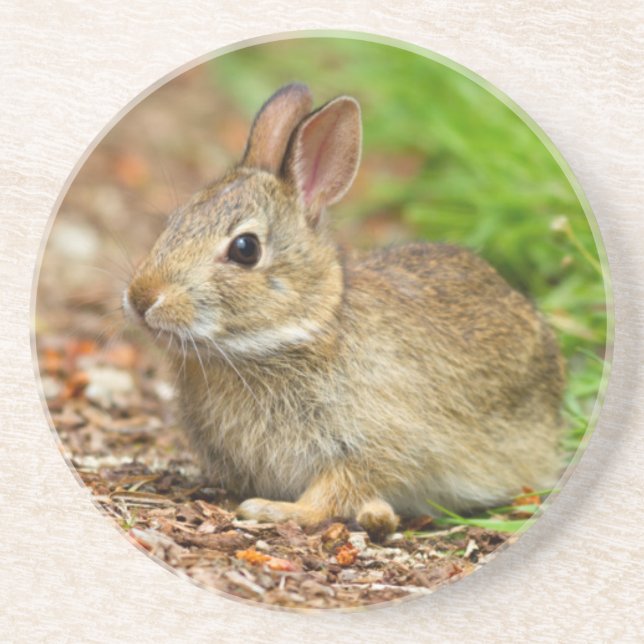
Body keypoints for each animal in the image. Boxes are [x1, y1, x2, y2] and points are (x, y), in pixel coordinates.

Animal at [124, 83, 565, 540]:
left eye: (245, 249)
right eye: (176, 220)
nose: (142, 298)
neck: (297, 332)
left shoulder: (378, 444)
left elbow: (335, 488)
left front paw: (272, 510)